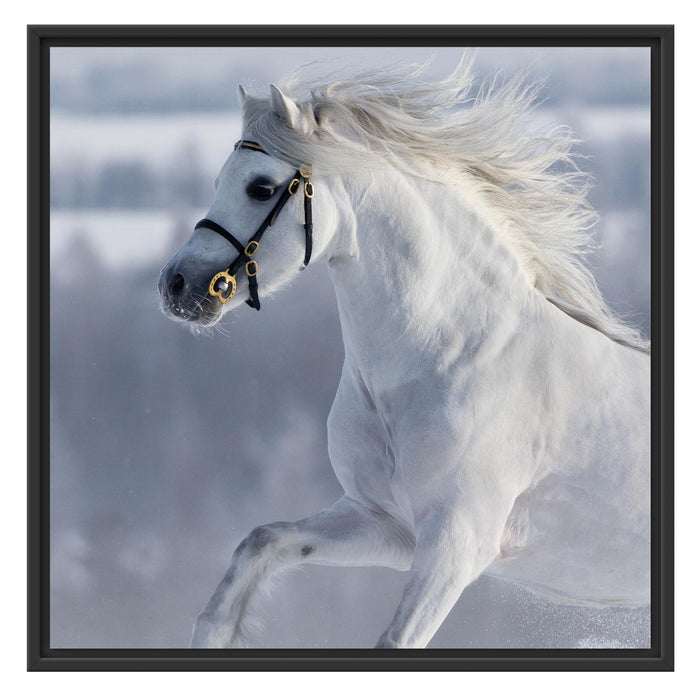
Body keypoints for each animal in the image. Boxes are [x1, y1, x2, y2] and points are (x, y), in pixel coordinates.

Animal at [158, 56, 650, 649]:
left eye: (260, 186)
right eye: (218, 182)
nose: (177, 285)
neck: (448, 361)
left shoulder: (456, 546)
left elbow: (394, 641)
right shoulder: (384, 524)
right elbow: (259, 545)